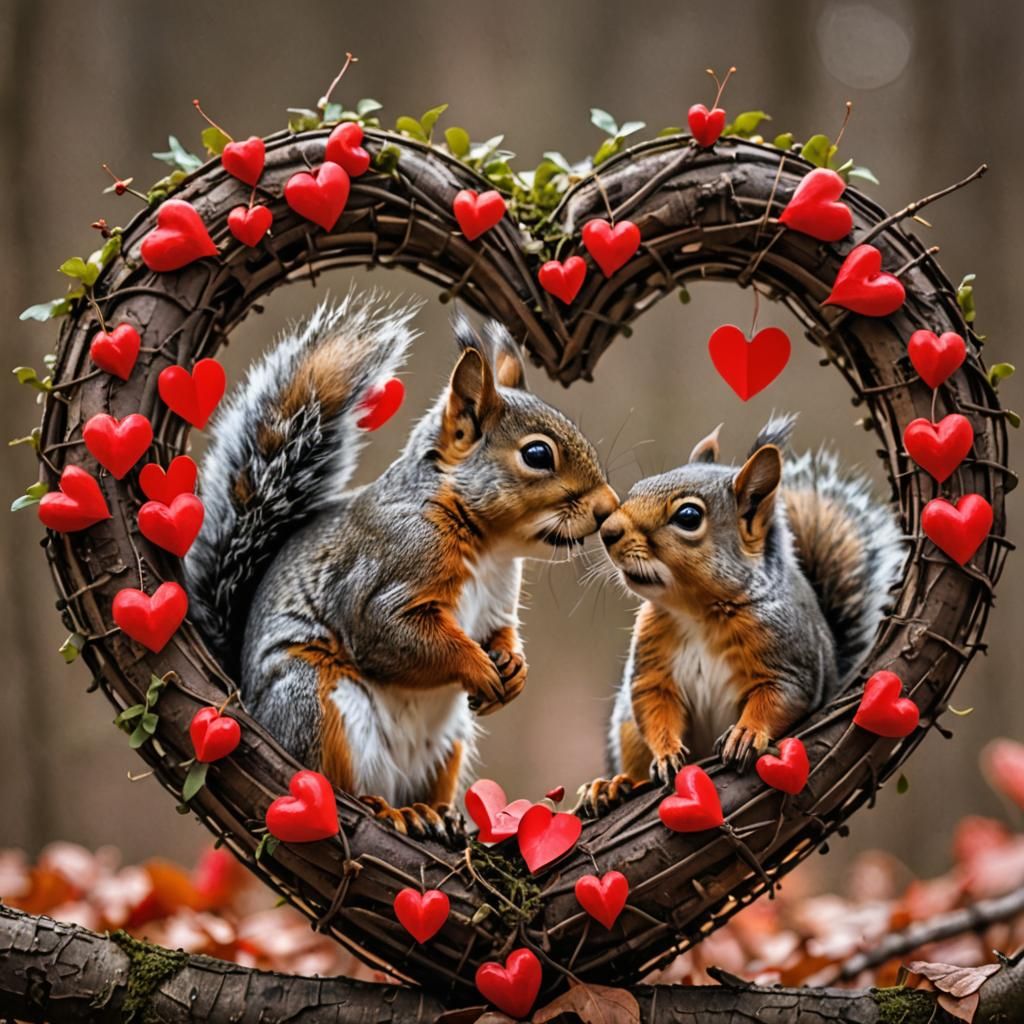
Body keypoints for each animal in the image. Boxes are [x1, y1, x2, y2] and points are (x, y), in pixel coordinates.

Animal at [185, 292, 618, 838]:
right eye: (537, 454)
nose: (610, 508)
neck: (490, 547)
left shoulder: (497, 602)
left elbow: (499, 633)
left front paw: (513, 668)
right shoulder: (387, 576)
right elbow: (395, 633)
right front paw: (477, 665)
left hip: (449, 741)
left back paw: (436, 814)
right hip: (316, 703)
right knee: (339, 783)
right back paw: (390, 811)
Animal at [578, 414, 904, 815]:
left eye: (688, 516)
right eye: (637, 488)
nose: (607, 531)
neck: (698, 612)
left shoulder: (787, 662)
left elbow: (776, 699)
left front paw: (746, 734)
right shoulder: (652, 664)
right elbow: (654, 705)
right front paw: (667, 752)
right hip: (625, 730)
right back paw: (611, 785)